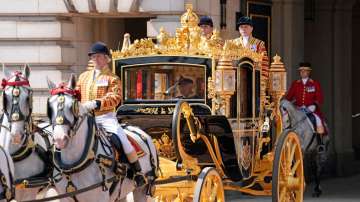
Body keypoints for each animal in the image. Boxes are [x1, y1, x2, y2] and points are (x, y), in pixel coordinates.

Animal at [45, 74, 158, 202]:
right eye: (49, 107)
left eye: (72, 106)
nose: (60, 139)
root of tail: (142, 133)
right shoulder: (65, 198)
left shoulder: (100, 198)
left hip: (141, 190)